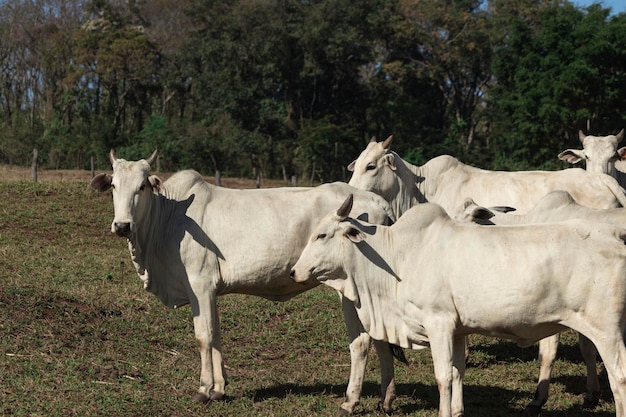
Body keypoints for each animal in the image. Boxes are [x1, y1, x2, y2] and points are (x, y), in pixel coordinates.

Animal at [89, 151, 398, 414]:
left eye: (142, 186)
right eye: (114, 185)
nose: (122, 225)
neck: (168, 220)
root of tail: (378, 202)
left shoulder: (199, 284)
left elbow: (203, 336)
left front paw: (204, 389)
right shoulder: (210, 291)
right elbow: (215, 335)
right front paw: (219, 389)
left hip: (350, 290)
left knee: (360, 341)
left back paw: (350, 401)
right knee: (381, 337)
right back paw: (386, 399)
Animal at [288, 194, 626, 416]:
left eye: (321, 235)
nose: (293, 272)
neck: (398, 256)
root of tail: (614, 239)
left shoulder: (438, 323)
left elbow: (443, 376)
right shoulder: (459, 330)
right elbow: (459, 371)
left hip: (606, 330)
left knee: (618, 376)